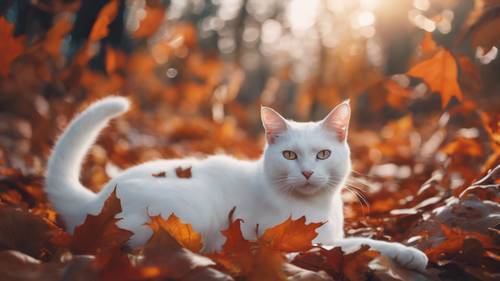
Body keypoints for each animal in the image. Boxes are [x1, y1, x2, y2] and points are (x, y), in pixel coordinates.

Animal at [46, 96, 426, 270]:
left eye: (322, 154)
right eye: (289, 155)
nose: (306, 172)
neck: (316, 206)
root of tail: (94, 201)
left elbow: (358, 240)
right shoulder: (300, 241)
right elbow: (361, 244)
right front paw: (408, 253)